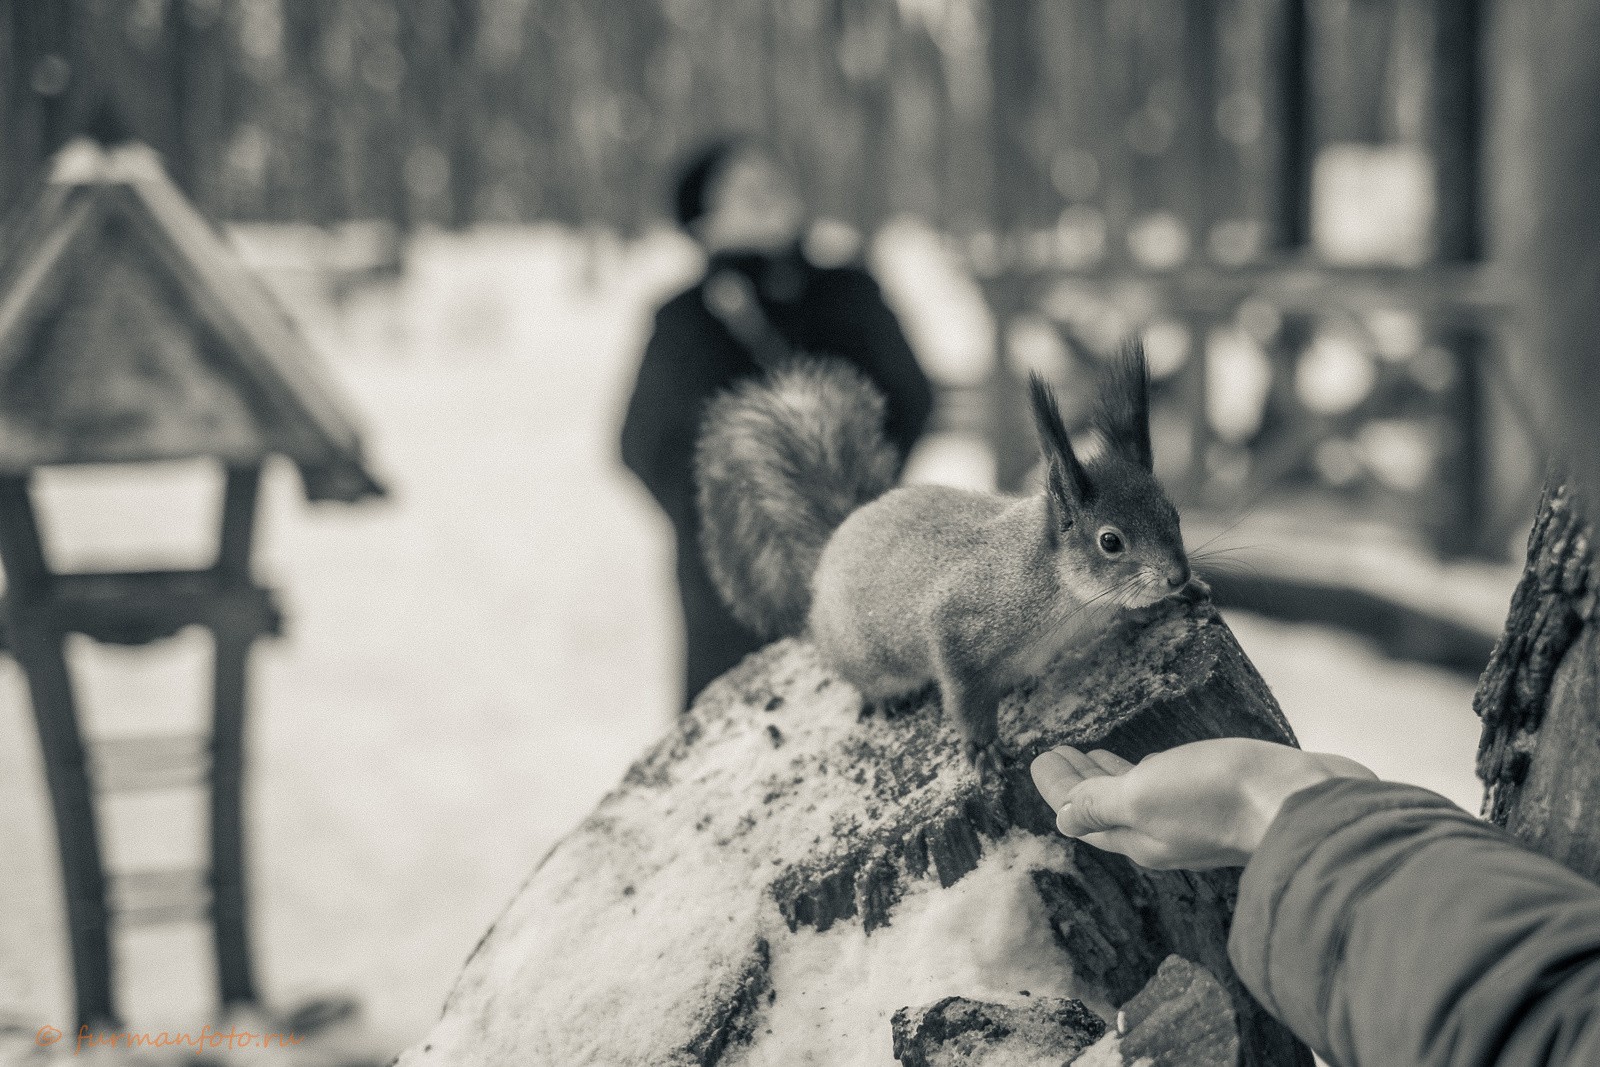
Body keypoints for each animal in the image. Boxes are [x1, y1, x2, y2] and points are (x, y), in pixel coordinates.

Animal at [694, 343, 1196, 777]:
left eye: (1173, 514)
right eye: (1110, 541)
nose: (1178, 576)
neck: (1066, 594)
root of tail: (838, 537)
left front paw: (1175, 601)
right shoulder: (960, 625)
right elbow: (963, 695)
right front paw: (983, 746)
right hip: (860, 653)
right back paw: (885, 700)